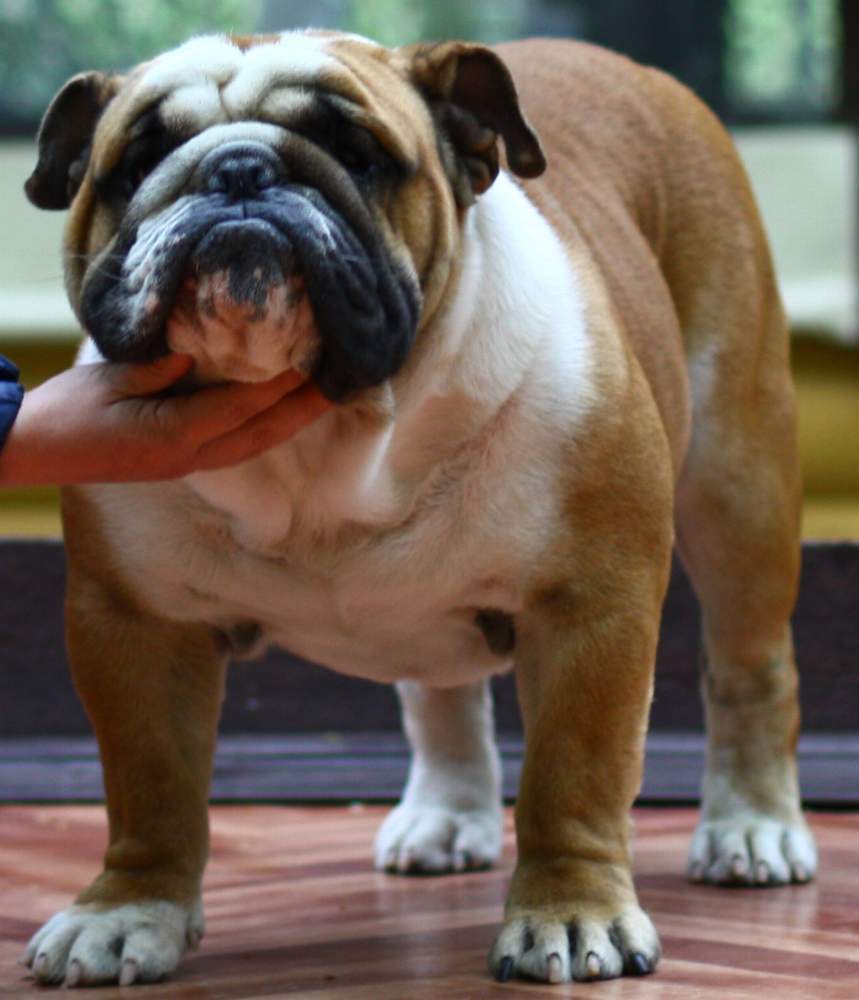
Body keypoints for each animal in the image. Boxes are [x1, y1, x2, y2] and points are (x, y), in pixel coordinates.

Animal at [22, 30, 817, 987]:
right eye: (135, 161)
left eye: (358, 153)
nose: (239, 168)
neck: (331, 434)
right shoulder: (135, 625)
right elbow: (149, 789)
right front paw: (126, 912)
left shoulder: (593, 607)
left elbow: (572, 777)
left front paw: (570, 912)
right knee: (440, 690)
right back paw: (447, 812)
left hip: (737, 483)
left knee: (750, 669)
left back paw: (753, 827)